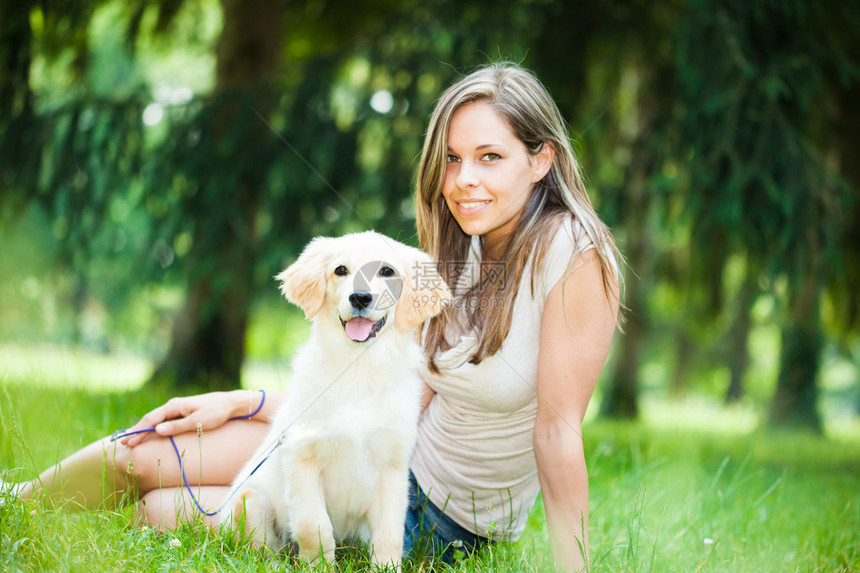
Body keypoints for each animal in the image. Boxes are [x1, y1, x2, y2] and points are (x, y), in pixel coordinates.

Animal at [220, 231, 450, 568]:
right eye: (341, 270)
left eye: (387, 271)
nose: (360, 298)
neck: (358, 369)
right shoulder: (302, 457)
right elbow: (312, 526)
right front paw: (318, 566)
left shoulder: (393, 468)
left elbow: (389, 534)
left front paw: (385, 568)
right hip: (250, 499)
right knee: (261, 547)